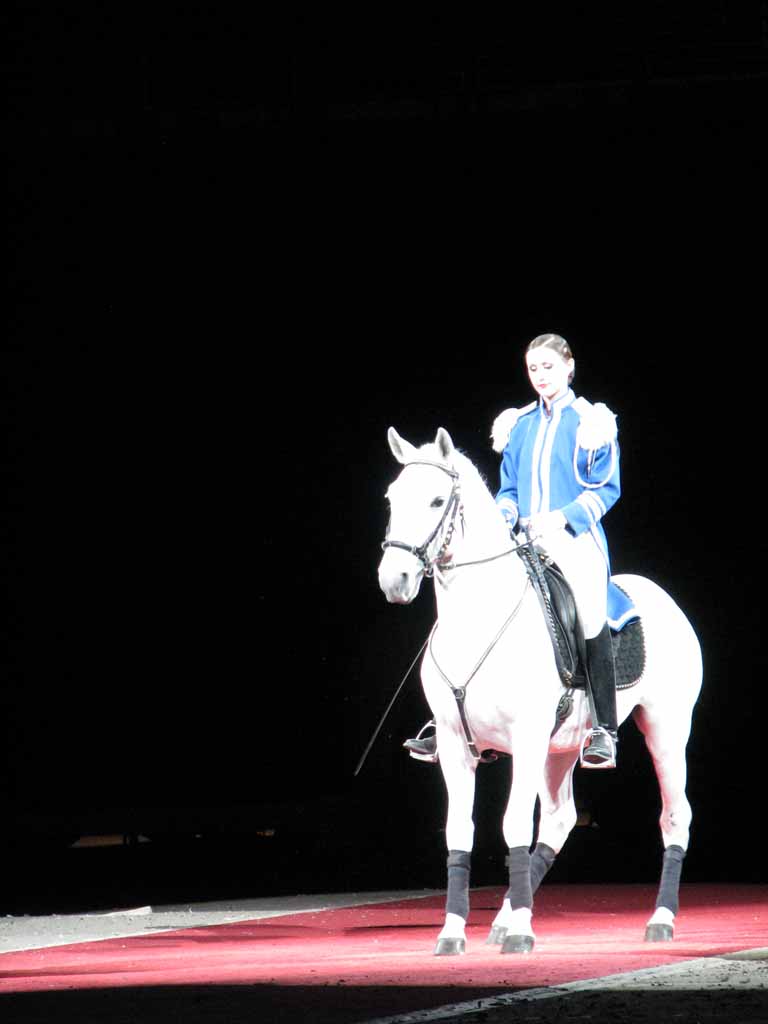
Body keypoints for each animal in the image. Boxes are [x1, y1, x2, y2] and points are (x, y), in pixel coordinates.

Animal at [376, 423, 704, 950]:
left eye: (436, 500)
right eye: (391, 498)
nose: (395, 579)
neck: (475, 617)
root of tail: (661, 596)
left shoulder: (526, 738)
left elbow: (512, 823)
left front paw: (521, 933)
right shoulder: (453, 744)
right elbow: (458, 831)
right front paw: (454, 932)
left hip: (666, 730)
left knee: (675, 815)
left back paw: (661, 919)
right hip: (562, 747)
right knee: (559, 819)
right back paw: (506, 916)